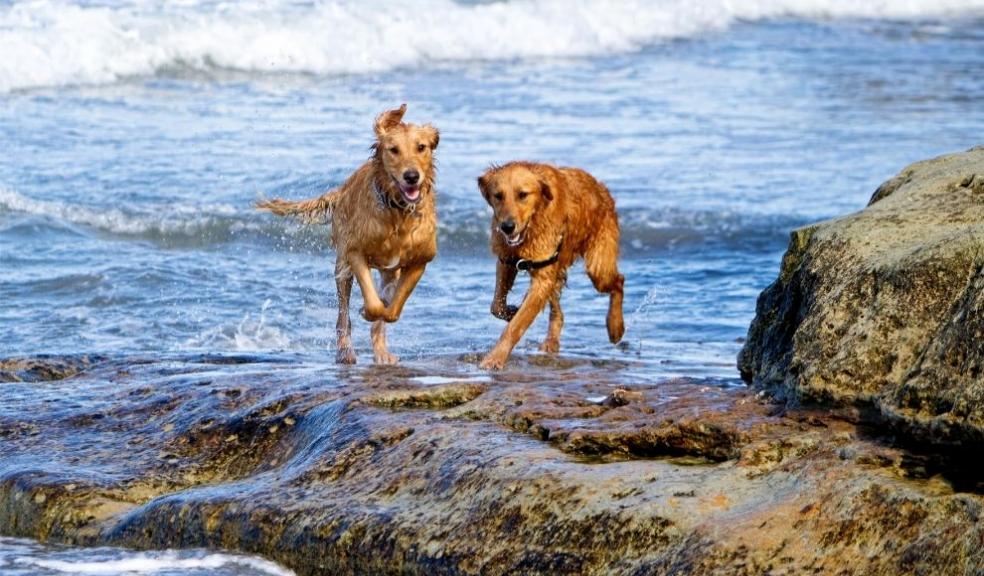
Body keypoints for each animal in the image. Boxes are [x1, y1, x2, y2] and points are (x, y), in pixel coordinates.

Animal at [258, 104, 438, 364]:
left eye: (421, 147)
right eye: (393, 150)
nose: (412, 176)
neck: (397, 211)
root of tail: (343, 188)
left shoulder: (420, 261)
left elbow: (392, 310)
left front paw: (386, 306)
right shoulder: (355, 252)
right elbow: (374, 305)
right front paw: (366, 309)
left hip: (387, 271)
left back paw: (381, 352)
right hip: (342, 264)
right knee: (343, 315)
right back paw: (345, 351)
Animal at [476, 161, 624, 368]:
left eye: (523, 195)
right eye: (498, 196)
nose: (507, 227)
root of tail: (602, 188)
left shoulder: (542, 276)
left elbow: (516, 325)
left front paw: (494, 358)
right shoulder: (507, 260)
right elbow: (496, 305)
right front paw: (511, 311)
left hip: (598, 265)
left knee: (619, 281)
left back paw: (615, 327)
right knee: (558, 312)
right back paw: (551, 341)